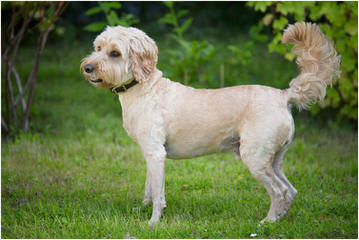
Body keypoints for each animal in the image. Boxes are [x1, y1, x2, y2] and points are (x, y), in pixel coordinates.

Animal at [80, 21, 342, 226]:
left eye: (115, 53)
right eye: (98, 47)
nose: (87, 67)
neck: (144, 88)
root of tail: (283, 95)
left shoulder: (155, 153)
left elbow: (158, 195)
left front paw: (153, 222)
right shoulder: (150, 155)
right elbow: (149, 188)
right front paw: (142, 209)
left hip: (255, 159)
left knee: (280, 191)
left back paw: (266, 222)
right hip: (273, 159)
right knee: (291, 190)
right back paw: (279, 219)